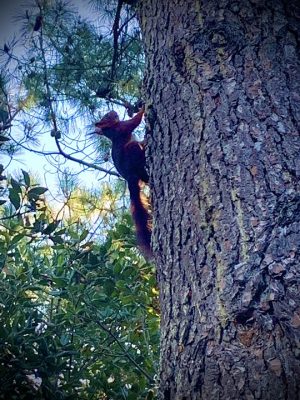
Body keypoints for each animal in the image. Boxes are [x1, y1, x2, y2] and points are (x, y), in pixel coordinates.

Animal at [95, 108, 152, 260]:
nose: (113, 111)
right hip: (132, 151)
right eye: (107, 116)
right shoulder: (123, 127)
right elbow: (135, 121)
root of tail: (129, 177)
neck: (111, 130)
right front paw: (143, 108)